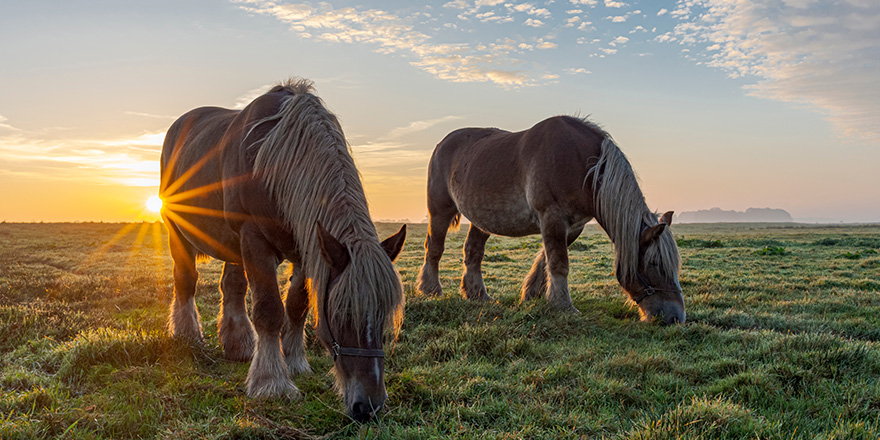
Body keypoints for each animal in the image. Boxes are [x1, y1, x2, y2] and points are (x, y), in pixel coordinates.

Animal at [158, 77, 406, 422]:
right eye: (342, 314)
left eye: (383, 313)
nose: (370, 406)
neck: (275, 163)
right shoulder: (255, 241)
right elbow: (269, 310)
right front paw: (271, 381)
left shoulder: (307, 249)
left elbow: (296, 307)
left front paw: (294, 362)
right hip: (178, 230)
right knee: (185, 280)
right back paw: (187, 336)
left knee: (232, 287)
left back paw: (239, 343)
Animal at [416, 115, 684, 324]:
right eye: (654, 264)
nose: (676, 318)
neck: (583, 165)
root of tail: (442, 144)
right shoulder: (553, 218)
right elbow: (558, 263)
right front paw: (564, 306)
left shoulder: (572, 226)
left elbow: (546, 260)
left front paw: (533, 295)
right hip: (440, 211)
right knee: (434, 248)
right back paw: (431, 290)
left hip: (481, 220)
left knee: (473, 252)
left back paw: (477, 294)